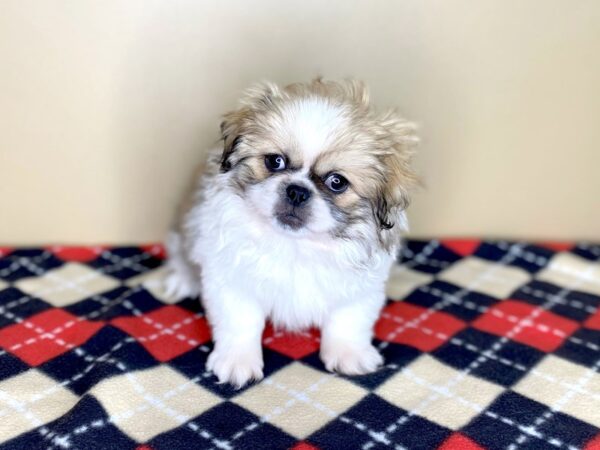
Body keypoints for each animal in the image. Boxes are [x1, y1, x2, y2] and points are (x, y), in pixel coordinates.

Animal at [164, 78, 418, 386]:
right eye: (275, 162)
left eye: (337, 182)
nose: (297, 191)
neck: (297, 245)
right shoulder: (231, 280)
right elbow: (240, 322)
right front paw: (237, 361)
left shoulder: (360, 289)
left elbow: (348, 321)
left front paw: (349, 354)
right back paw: (182, 280)